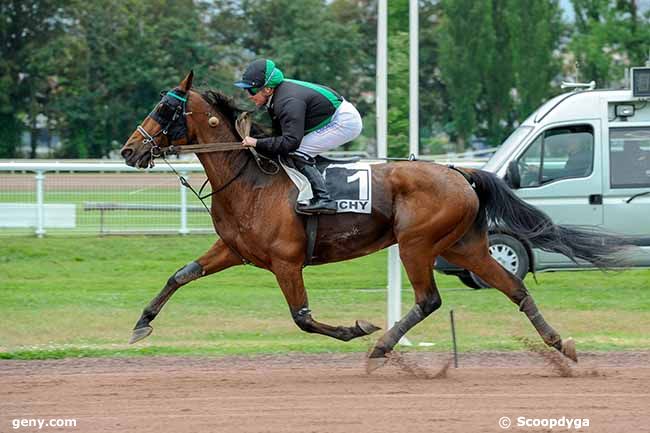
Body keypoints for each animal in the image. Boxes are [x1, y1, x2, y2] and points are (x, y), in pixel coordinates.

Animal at [120, 71, 628, 368]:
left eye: (165, 108)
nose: (129, 150)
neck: (251, 180)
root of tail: (458, 172)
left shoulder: (286, 261)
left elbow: (303, 318)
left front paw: (356, 329)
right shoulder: (234, 250)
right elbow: (180, 274)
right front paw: (141, 323)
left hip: (417, 244)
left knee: (429, 300)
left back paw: (381, 346)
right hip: (464, 245)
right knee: (514, 288)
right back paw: (560, 344)